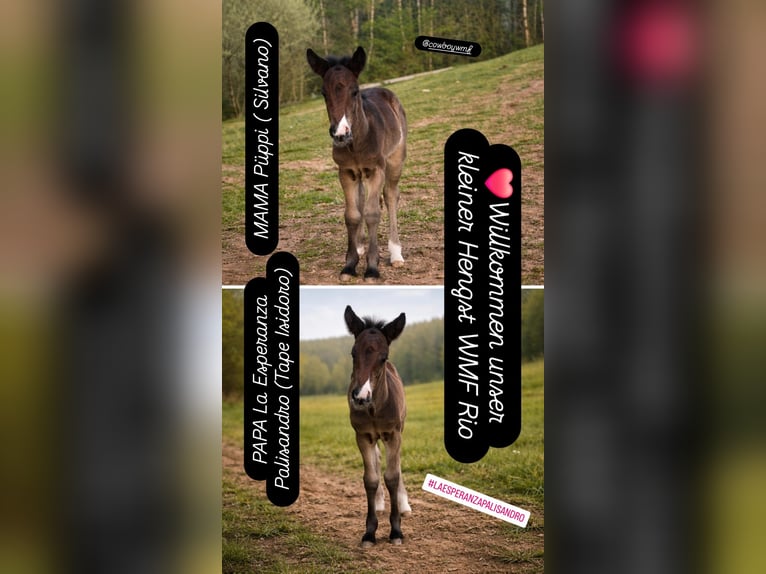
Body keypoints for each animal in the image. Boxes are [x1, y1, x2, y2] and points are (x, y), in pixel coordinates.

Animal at [307, 47, 407, 282]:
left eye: (354, 92)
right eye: (324, 93)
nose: (340, 134)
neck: (357, 142)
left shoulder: (376, 170)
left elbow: (372, 213)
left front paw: (372, 268)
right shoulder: (346, 172)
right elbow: (352, 214)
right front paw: (350, 265)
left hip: (395, 160)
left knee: (391, 196)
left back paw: (395, 253)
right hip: (360, 174)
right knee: (361, 200)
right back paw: (360, 245)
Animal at [343, 305, 411, 547]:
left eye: (383, 357)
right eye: (353, 353)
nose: (360, 397)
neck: (375, 408)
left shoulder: (394, 434)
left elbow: (392, 476)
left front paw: (396, 531)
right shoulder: (363, 436)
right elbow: (370, 479)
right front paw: (369, 532)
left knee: (396, 464)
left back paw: (404, 504)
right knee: (378, 460)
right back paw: (381, 503)